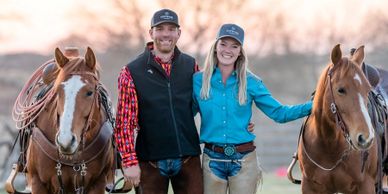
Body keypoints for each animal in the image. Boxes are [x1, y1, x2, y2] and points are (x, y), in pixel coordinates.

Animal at [298, 44, 378, 193]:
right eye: (341, 89)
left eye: (368, 90)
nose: (366, 138)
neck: (328, 144)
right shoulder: (309, 186)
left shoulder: (366, 185)